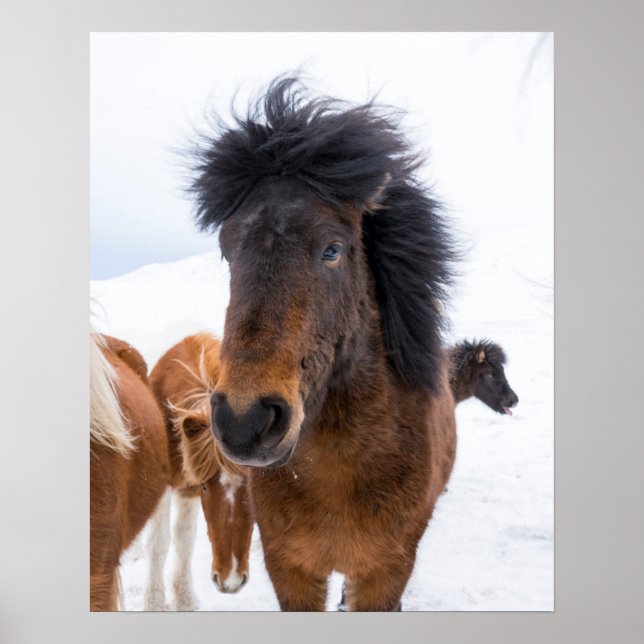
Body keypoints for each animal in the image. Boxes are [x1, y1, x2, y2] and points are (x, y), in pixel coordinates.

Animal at [145, 332, 253, 610]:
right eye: (206, 485)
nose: (231, 581)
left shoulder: (188, 492)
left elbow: (184, 540)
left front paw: (184, 597)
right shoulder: (167, 486)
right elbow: (159, 542)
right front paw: (154, 602)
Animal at [187, 77, 458, 611]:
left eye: (332, 249)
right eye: (228, 252)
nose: (245, 421)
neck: (338, 477)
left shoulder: (384, 575)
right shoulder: (290, 571)